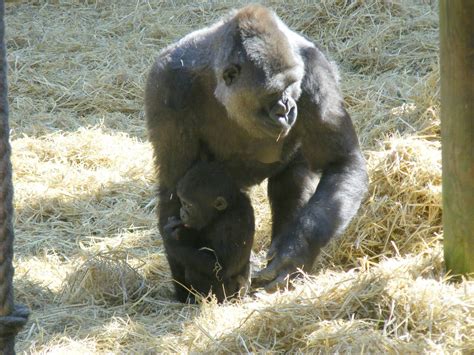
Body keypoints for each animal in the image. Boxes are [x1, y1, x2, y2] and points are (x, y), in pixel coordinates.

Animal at [163, 161, 254, 304]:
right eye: (181, 202)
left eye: (188, 205)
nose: (182, 213)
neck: (224, 211)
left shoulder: (234, 223)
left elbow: (221, 268)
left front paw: (171, 240)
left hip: (231, 295)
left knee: (194, 273)